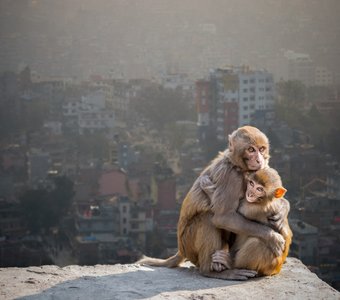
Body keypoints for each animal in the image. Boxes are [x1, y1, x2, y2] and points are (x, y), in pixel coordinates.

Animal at [138, 125, 290, 280]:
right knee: (207, 219)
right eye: (251, 149)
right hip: (189, 245)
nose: (259, 160)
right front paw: (272, 236)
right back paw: (212, 270)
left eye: (262, 149)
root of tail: (181, 249)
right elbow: (223, 217)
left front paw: (282, 210)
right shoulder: (231, 177)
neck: (238, 166)